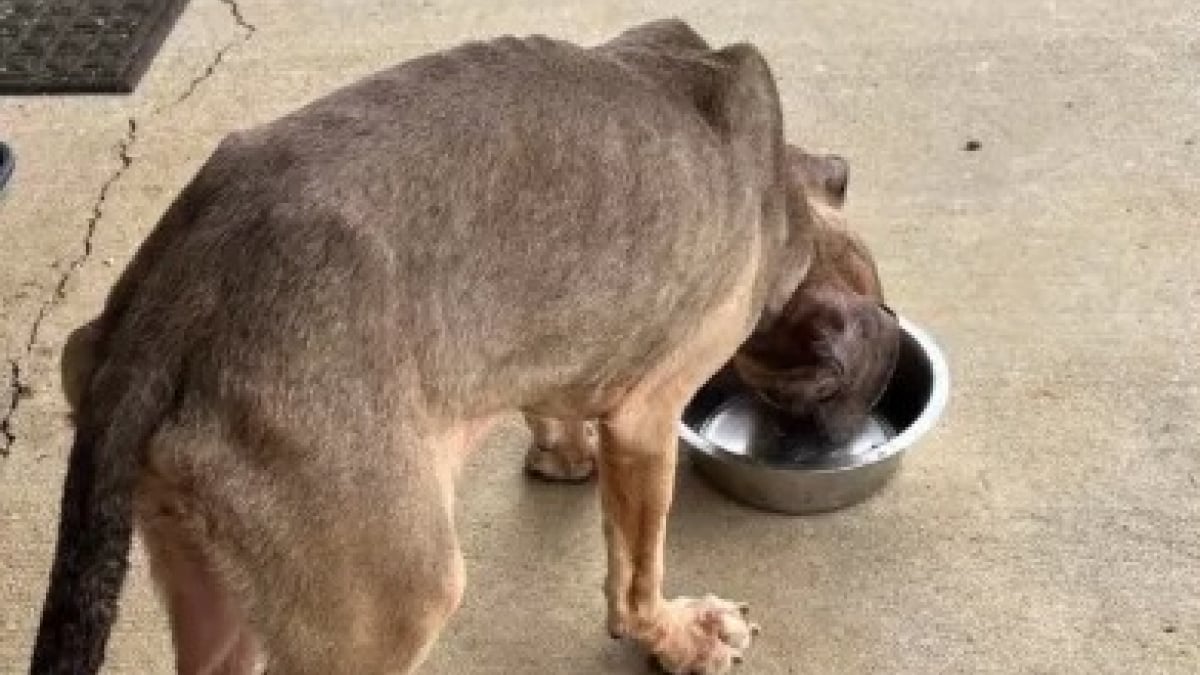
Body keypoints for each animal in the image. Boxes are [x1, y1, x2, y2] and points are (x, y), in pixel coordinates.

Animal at [28, 18, 897, 667]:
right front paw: (679, 635)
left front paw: (562, 447)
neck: (781, 200)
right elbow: (636, 573)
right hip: (395, 600)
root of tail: (173, 302)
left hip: (204, 569)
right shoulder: (648, 421)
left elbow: (552, 393)